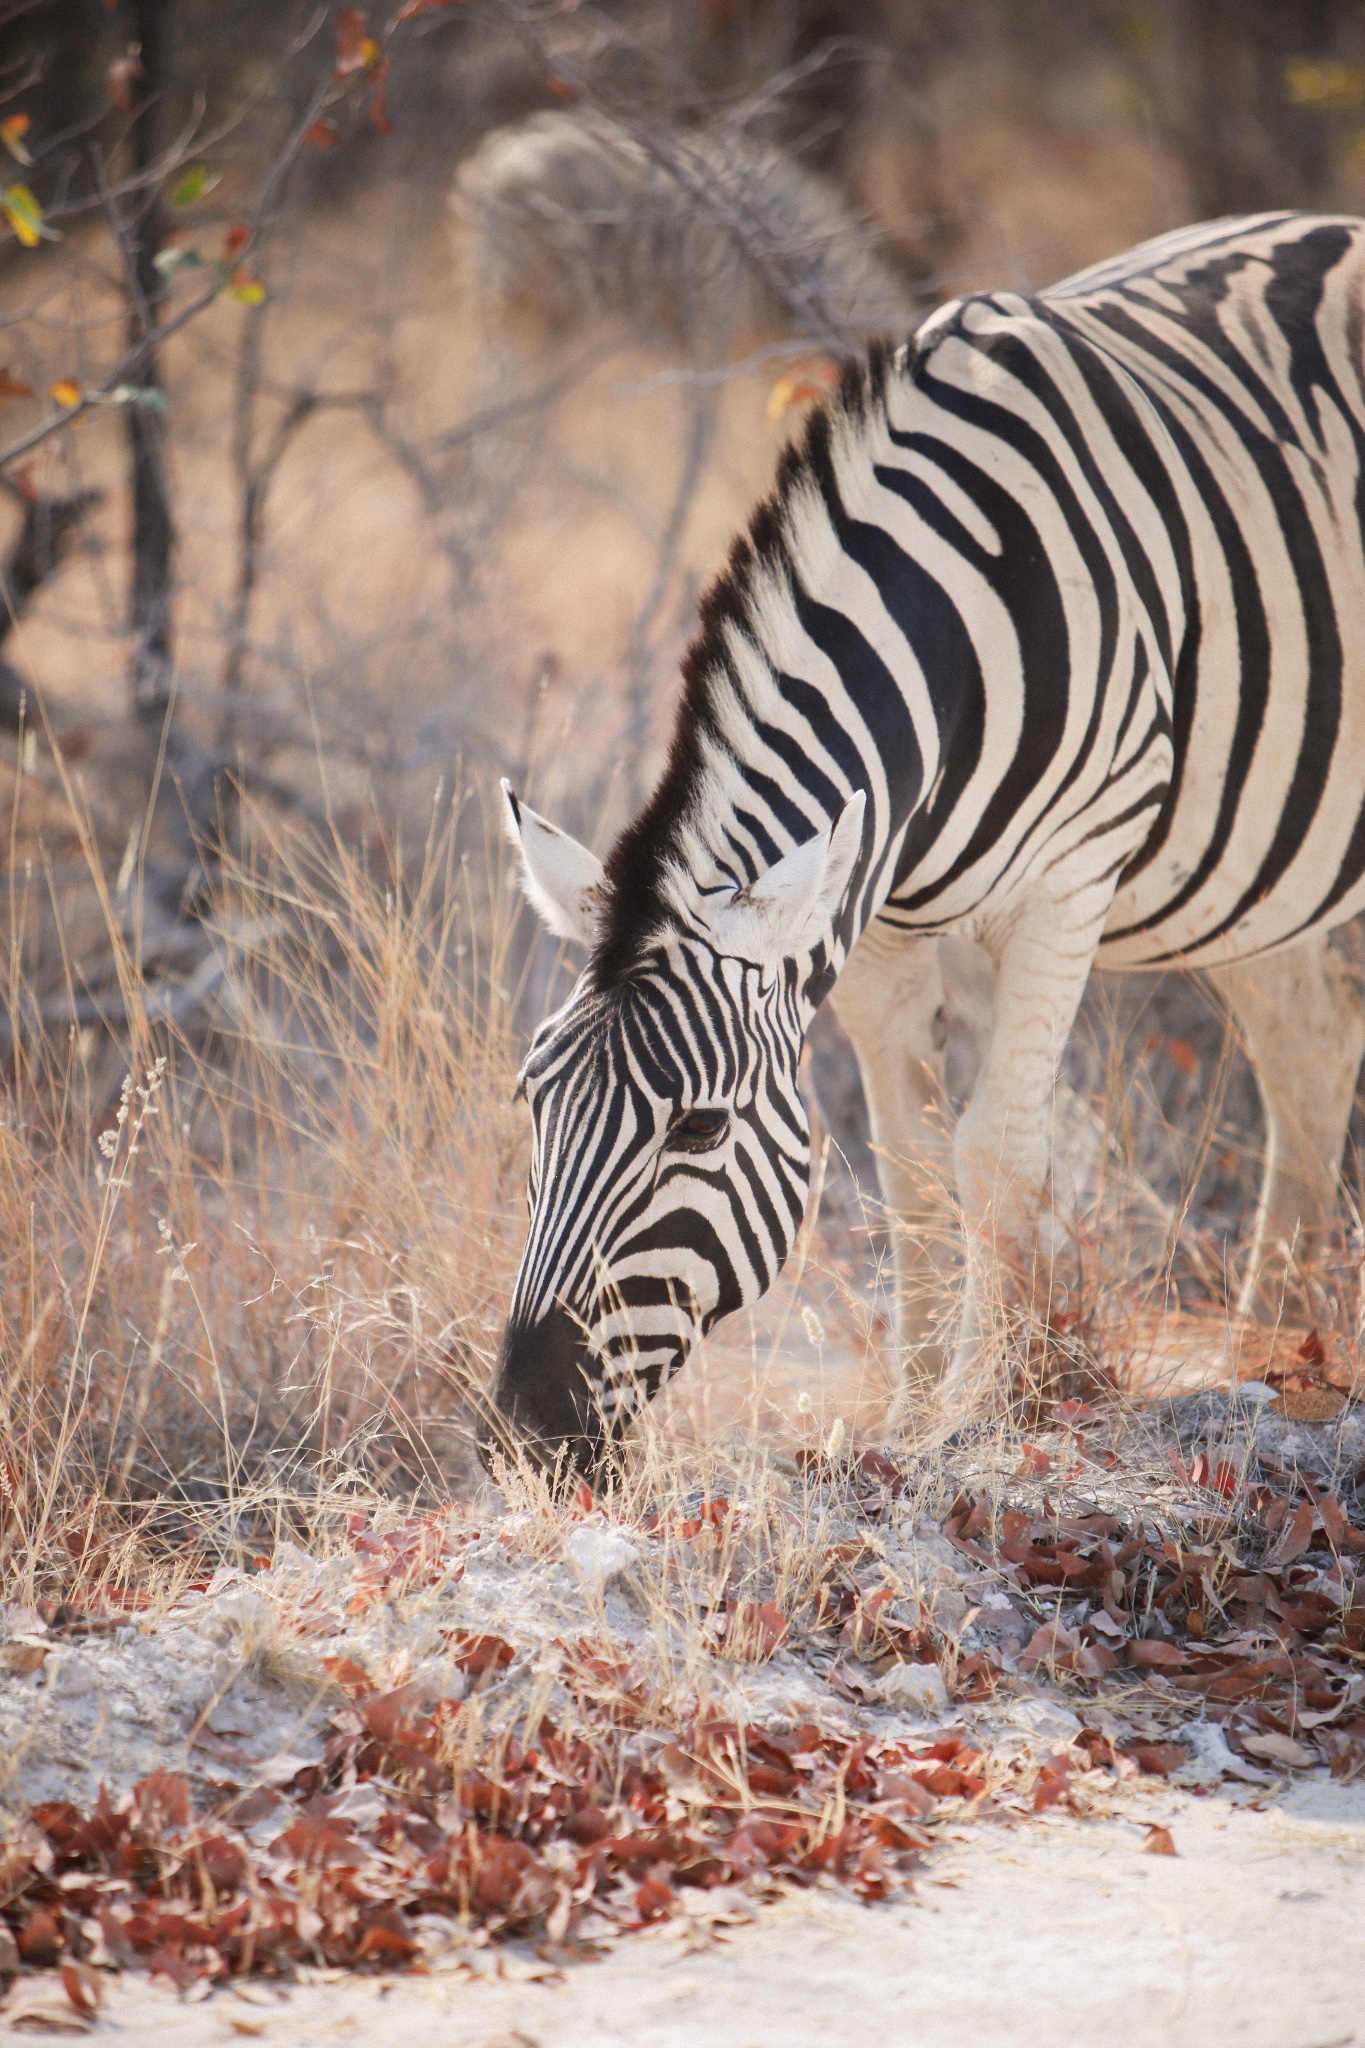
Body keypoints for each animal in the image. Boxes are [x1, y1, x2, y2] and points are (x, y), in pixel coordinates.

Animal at [485, 211, 1365, 1474]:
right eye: (532, 1098)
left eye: (699, 1125)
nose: (526, 1424)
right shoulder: (875, 929)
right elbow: (907, 1165)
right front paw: (906, 1419)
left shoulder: (1069, 882)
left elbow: (997, 1152)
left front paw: (977, 1417)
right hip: (1243, 866)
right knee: (1312, 1049)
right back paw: (1278, 1363)